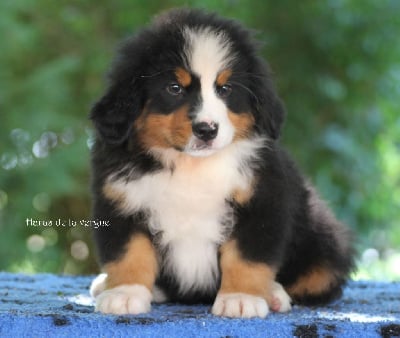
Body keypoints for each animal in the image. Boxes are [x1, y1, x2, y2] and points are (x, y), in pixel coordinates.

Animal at [89, 8, 354, 320]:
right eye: (174, 88)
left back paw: (274, 294)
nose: (207, 129)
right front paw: (125, 293)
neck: (191, 167)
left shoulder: (262, 201)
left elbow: (245, 258)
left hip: (324, 241)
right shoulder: (121, 203)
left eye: (225, 89)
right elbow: (130, 252)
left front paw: (241, 298)